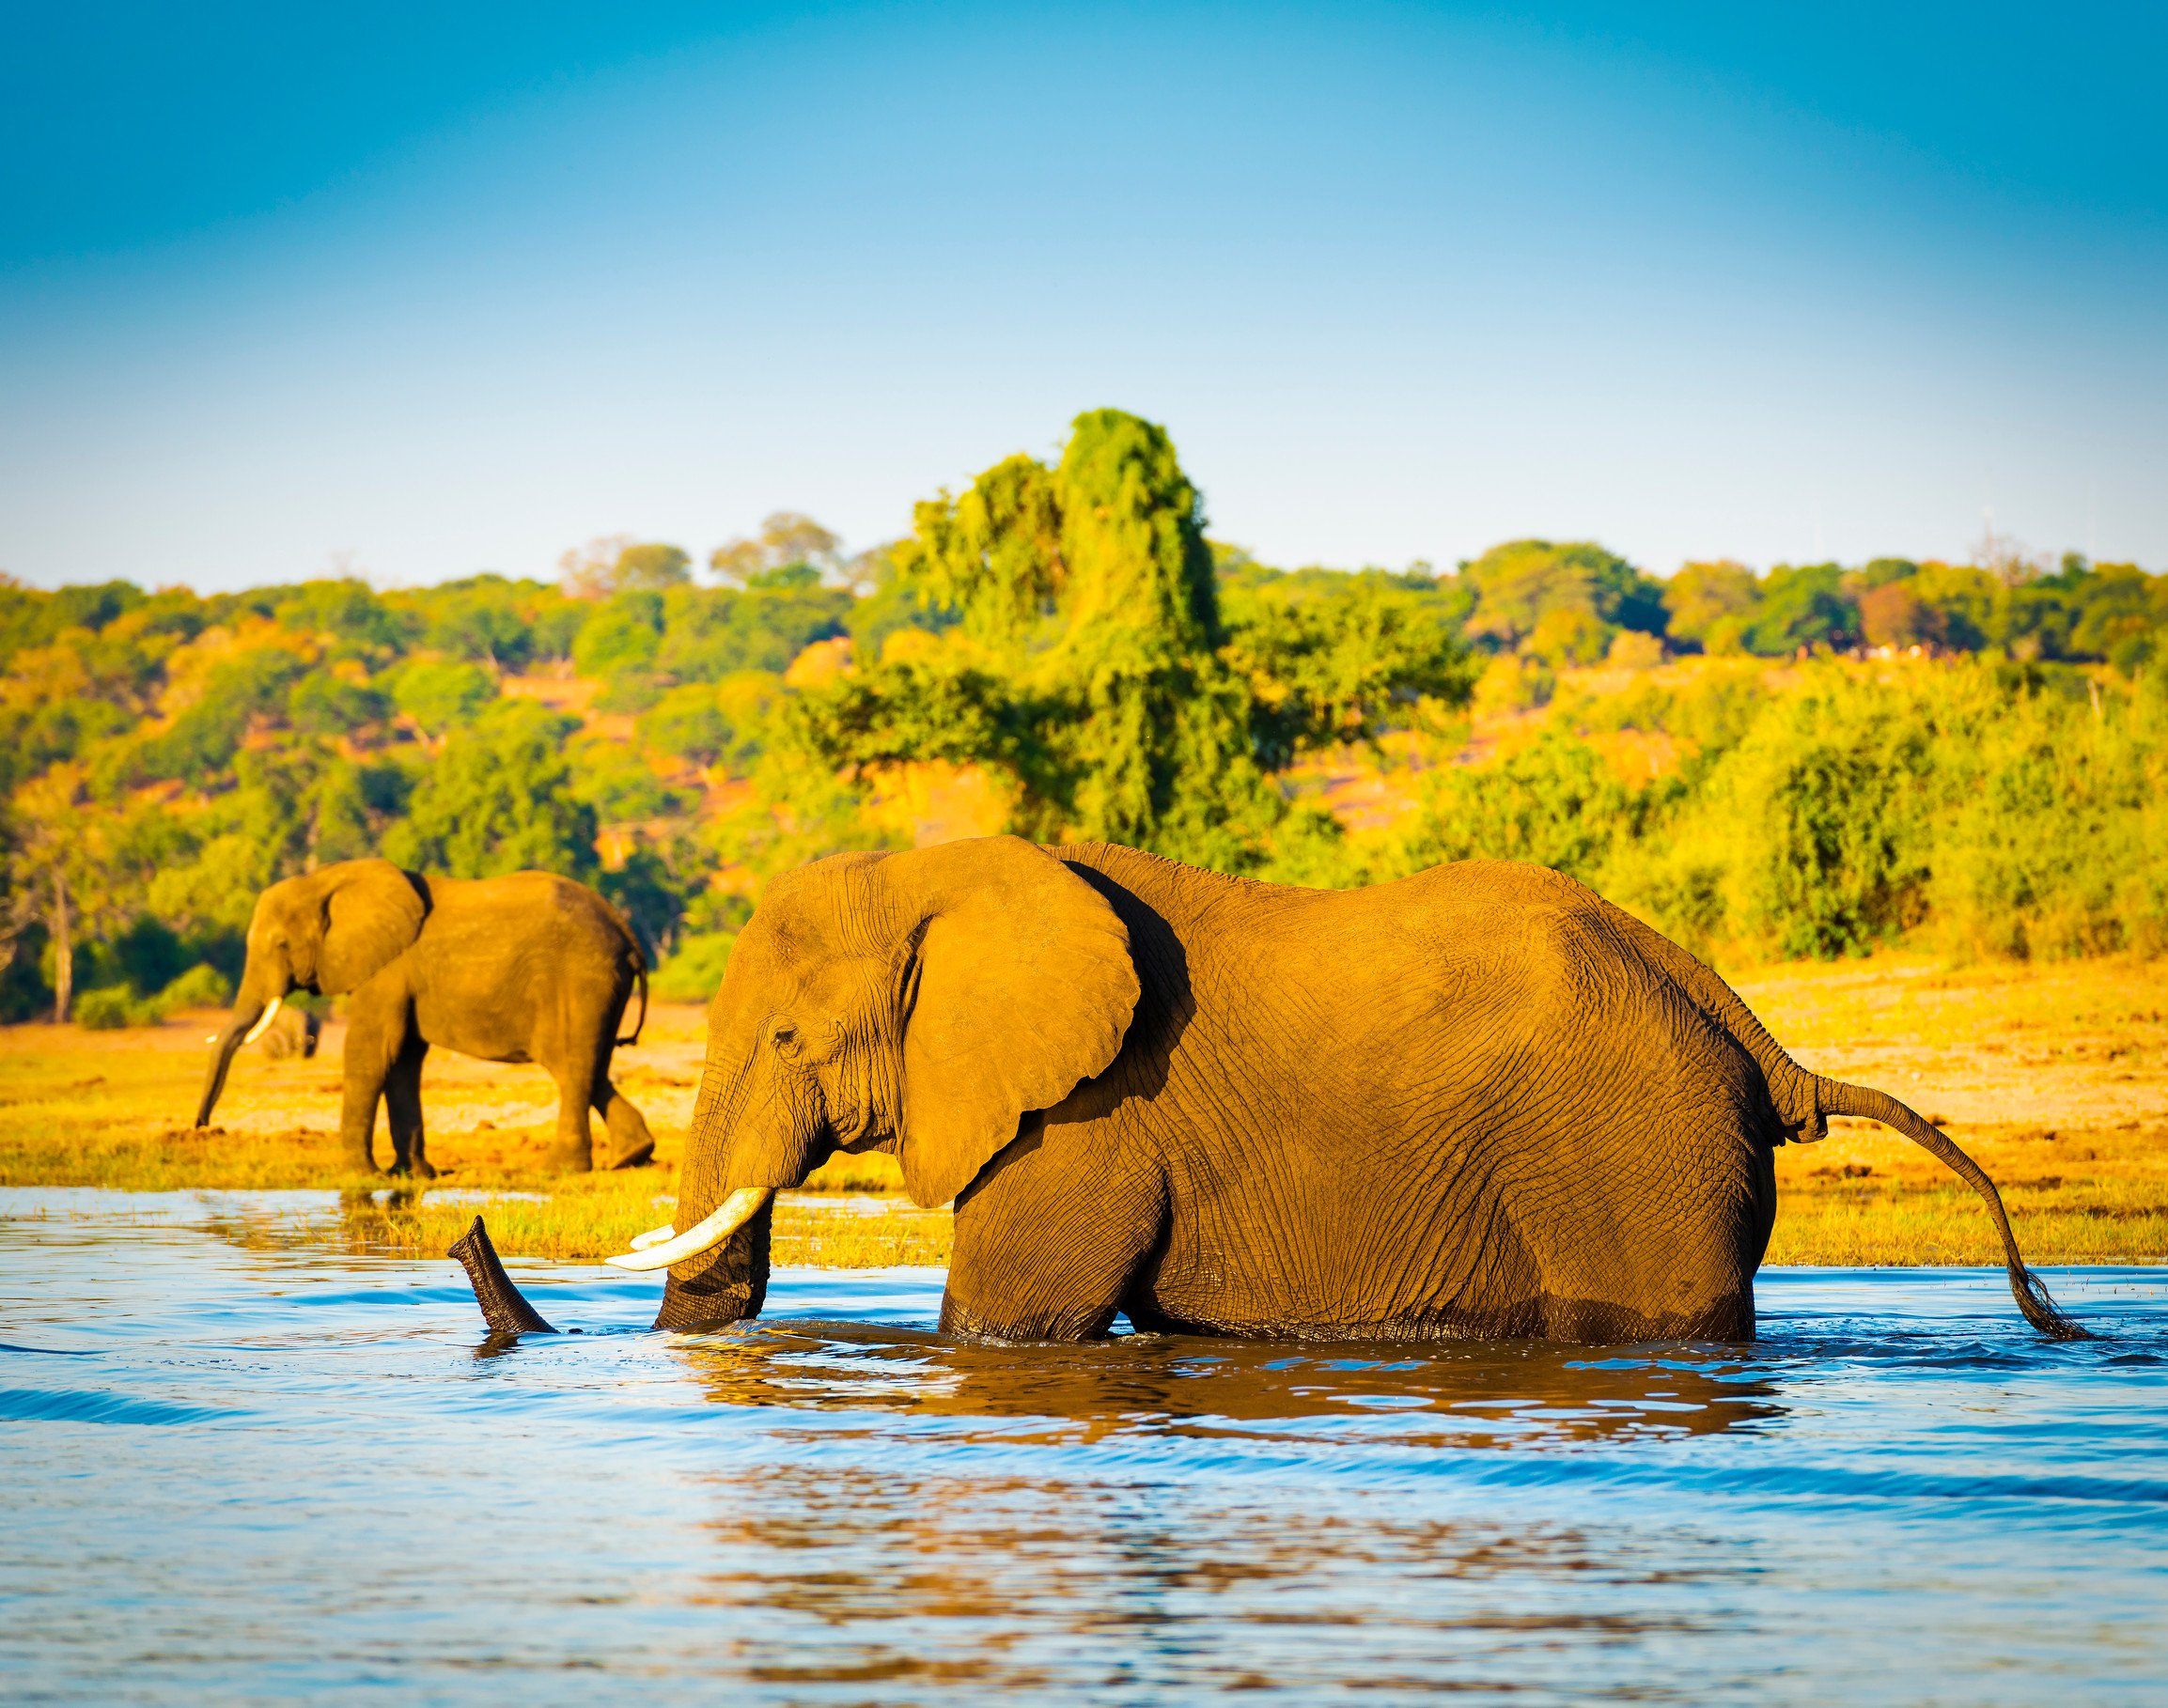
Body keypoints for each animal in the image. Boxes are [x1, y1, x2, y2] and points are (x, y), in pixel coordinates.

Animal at [195, 853, 650, 1170]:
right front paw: (410, 1174)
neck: (327, 880)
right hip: (601, 987)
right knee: (592, 1067)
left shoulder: (386, 971)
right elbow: (402, 1060)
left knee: (572, 1067)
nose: (202, 1129)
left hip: (580, 981)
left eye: (281, 945)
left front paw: (360, 1173)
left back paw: (559, 1168)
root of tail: (627, 933)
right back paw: (631, 1156)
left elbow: (369, 1053)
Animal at [533, 836, 2072, 1343]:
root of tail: (1757, 1039)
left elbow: (1004, 1321)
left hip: (1640, 1154)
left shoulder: (1085, 1122)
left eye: (793, 1040)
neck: (947, 868)